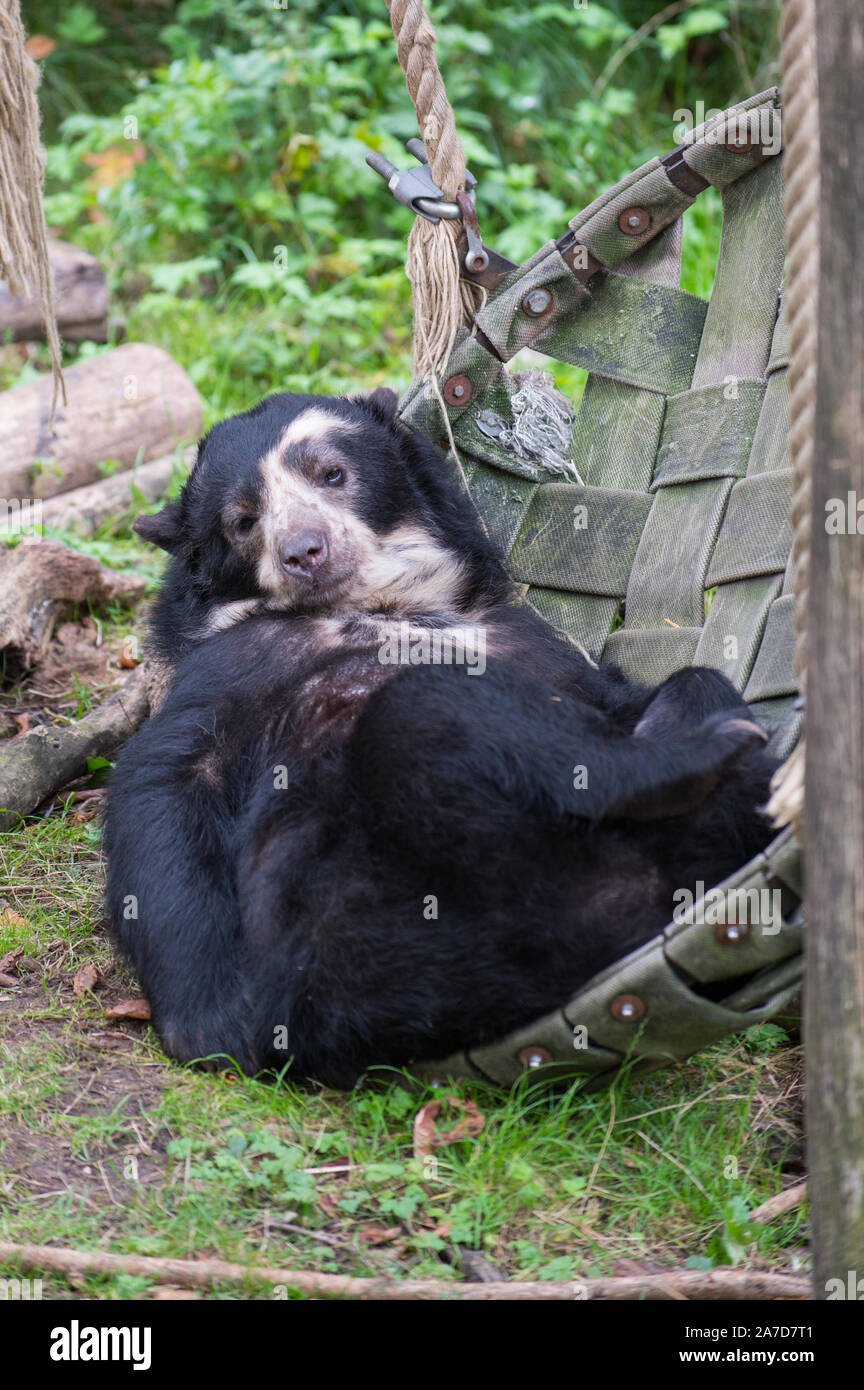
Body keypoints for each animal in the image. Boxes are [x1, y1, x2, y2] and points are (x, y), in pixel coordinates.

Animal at [104, 389, 783, 1084]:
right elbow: (167, 773)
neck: (380, 607)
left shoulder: (519, 638)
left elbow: (637, 691)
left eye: (333, 474)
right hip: (363, 914)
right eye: (242, 522)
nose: (304, 552)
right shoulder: (234, 663)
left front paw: (686, 716)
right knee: (424, 704)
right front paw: (212, 1021)